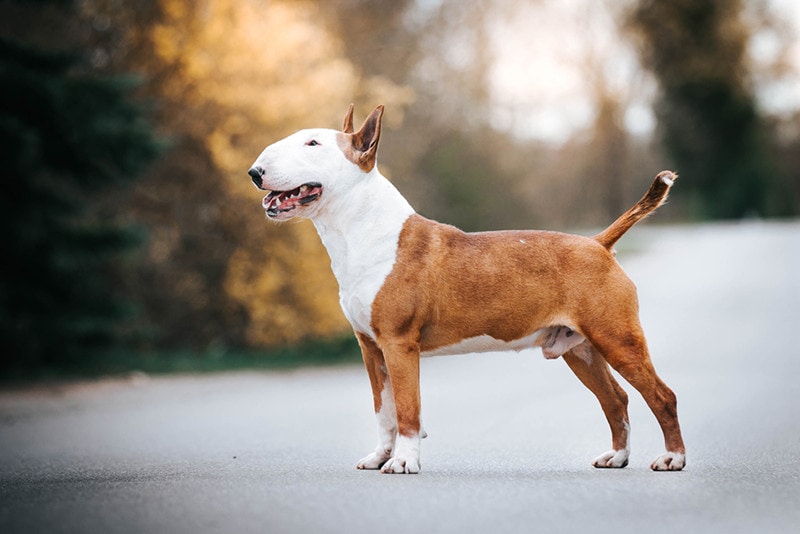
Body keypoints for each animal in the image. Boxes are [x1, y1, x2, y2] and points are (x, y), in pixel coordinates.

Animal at [247, 107, 684, 476]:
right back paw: (618, 456)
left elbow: (407, 410)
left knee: (662, 395)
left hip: (618, 339)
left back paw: (672, 458)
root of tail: (598, 244)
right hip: (580, 349)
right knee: (616, 400)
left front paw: (403, 462)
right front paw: (379, 457)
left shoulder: (399, 344)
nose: (255, 171)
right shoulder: (370, 347)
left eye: (313, 144)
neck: (363, 231)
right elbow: (383, 411)